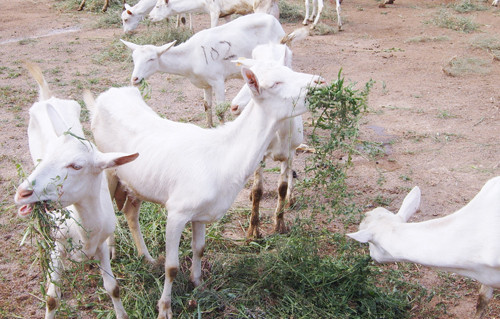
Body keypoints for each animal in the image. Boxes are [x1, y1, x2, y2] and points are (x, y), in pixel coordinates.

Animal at [14, 62, 138, 319]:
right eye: (46, 158)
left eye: (76, 166)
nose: (22, 193)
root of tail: (47, 97)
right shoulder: (59, 245)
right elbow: (51, 298)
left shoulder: (99, 245)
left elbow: (113, 287)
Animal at [230, 39, 304, 238]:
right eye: (251, 79)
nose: (234, 106)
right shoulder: (260, 154)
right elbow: (258, 190)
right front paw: (253, 230)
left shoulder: (289, 152)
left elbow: (282, 187)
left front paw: (280, 224)